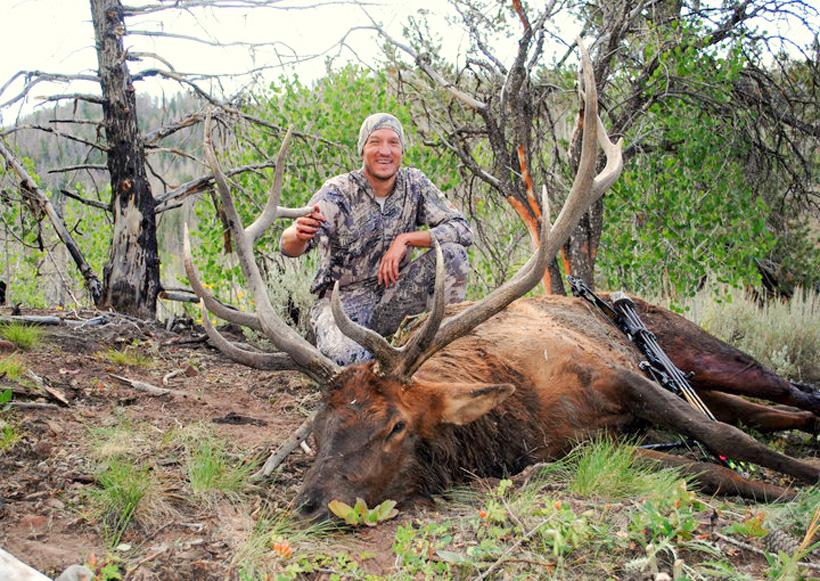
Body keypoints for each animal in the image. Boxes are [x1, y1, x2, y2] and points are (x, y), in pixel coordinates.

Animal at [184, 41, 819, 522]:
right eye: (319, 425)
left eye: (394, 425)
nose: (311, 505)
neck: (520, 413)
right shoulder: (584, 449)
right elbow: (711, 466)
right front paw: (781, 489)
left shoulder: (622, 377)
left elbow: (730, 443)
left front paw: (807, 478)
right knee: (764, 413)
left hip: (695, 345)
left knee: (784, 392)